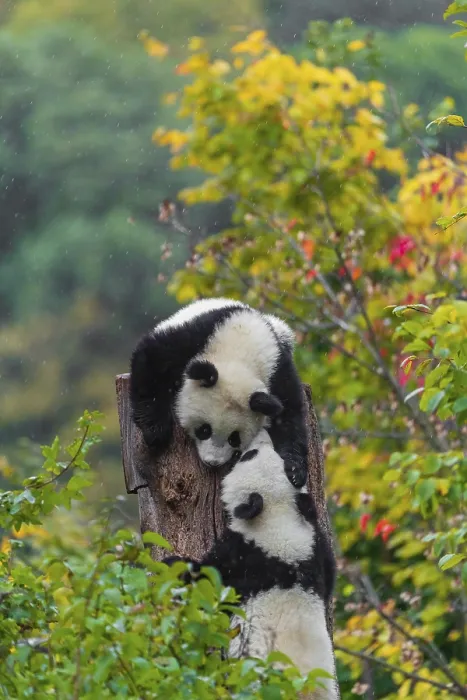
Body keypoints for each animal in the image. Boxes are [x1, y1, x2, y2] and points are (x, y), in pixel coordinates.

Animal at [130, 297, 308, 488]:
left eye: (234, 438)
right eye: (204, 430)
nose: (212, 462)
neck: (240, 353)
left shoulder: (277, 370)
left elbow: (289, 414)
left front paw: (295, 471)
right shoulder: (198, 339)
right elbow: (153, 358)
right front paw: (155, 430)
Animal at [164, 430, 338, 699]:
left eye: (249, 455)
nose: (262, 434)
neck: (279, 519)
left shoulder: (243, 557)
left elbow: (209, 584)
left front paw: (175, 564)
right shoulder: (314, 549)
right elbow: (330, 575)